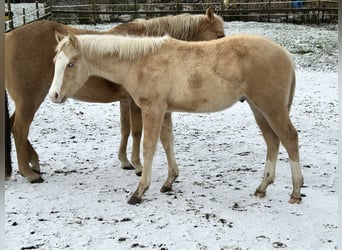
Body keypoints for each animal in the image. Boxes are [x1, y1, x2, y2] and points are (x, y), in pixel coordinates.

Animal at [5, 7, 226, 183]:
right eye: (218, 35)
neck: (141, 50)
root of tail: (8, 38)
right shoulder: (136, 103)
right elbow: (137, 131)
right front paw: (137, 165)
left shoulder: (125, 101)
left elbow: (125, 129)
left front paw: (125, 161)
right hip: (30, 99)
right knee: (19, 129)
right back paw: (29, 173)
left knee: (13, 125)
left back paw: (32, 163)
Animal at [49, 32, 304, 205]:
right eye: (55, 62)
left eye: (71, 64)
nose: (54, 95)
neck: (140, 62)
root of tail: (285, 54)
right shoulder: (165, 111)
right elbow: (167, 142)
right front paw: (169, 181)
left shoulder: (153, 109)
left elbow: (149, 147)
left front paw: (139, 191)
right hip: (258, 109)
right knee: (272, 141)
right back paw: (262, 187)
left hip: (272, 108)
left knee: (289, 139)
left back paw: (295, 192)